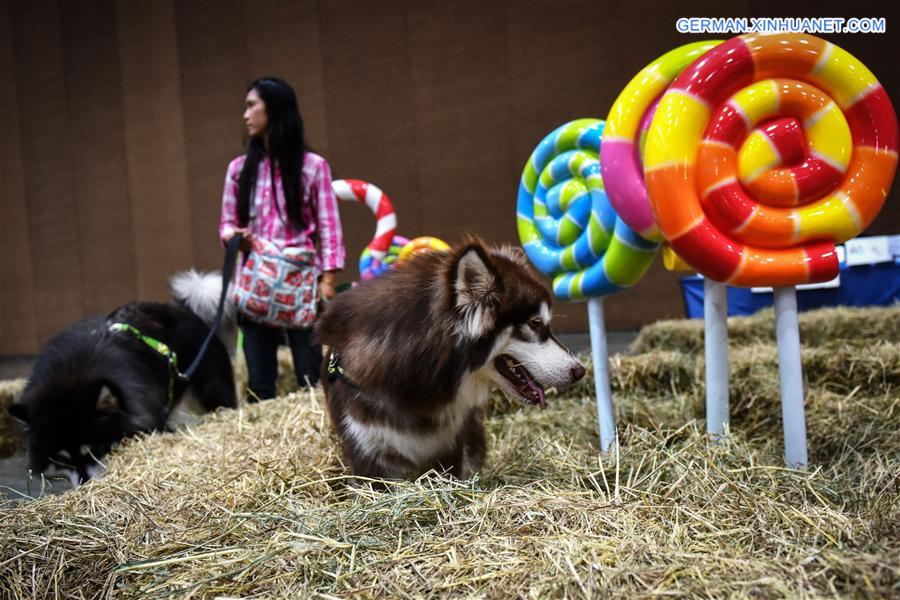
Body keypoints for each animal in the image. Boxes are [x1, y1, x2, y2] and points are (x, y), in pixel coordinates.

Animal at [7, 270, 239, 486]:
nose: (85, 483)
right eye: (62, 460)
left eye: (94, 449)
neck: (72, 374)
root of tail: (183, 309)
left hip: (210, 395)